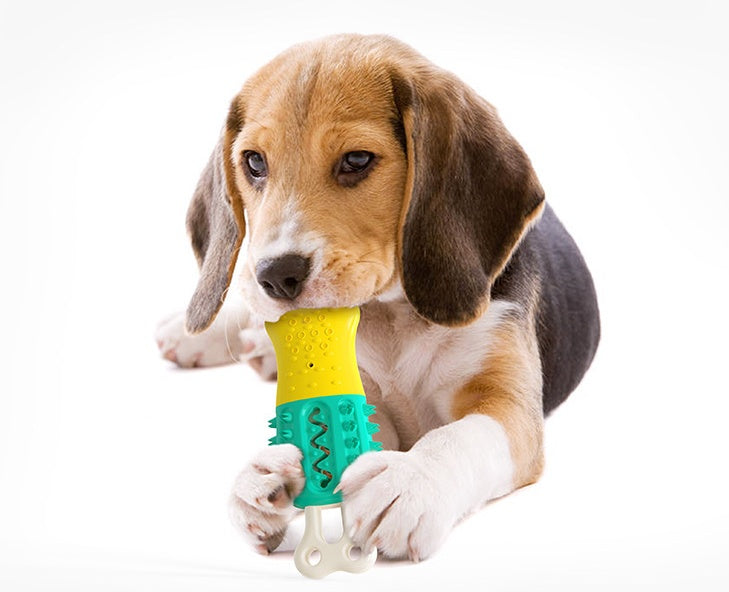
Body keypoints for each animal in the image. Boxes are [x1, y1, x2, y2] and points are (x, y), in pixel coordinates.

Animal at [156, 34, 600, 560]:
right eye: (254, 163)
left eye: (356, 161)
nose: (275, 275)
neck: (394, 317)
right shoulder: (363, 399)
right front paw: (267, 472)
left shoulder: (508, 408)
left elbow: (461, 435)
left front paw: (411, 480)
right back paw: (200, 334)